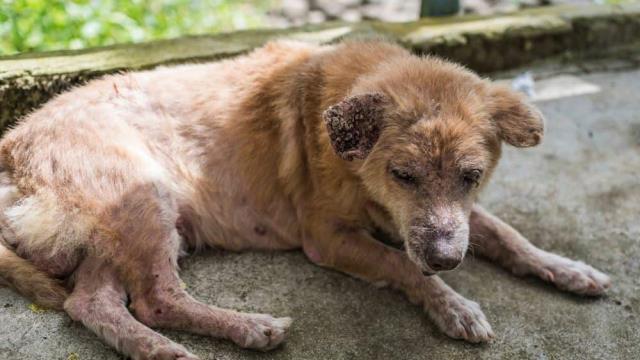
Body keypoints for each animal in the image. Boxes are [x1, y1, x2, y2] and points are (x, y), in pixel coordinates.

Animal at [0, 40, 608, 360]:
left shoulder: (448, 220)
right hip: (143, 197)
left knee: (92, 304)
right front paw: (453, 304)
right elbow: (401, 265)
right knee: (155, 299)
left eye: (472, 175)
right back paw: (245, 329)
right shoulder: (327, 237)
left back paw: (158, 348)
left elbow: (509, 234)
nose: (447, 260)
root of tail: (11, 145)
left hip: (116, 228)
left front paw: (567, 268)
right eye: (403, 174)